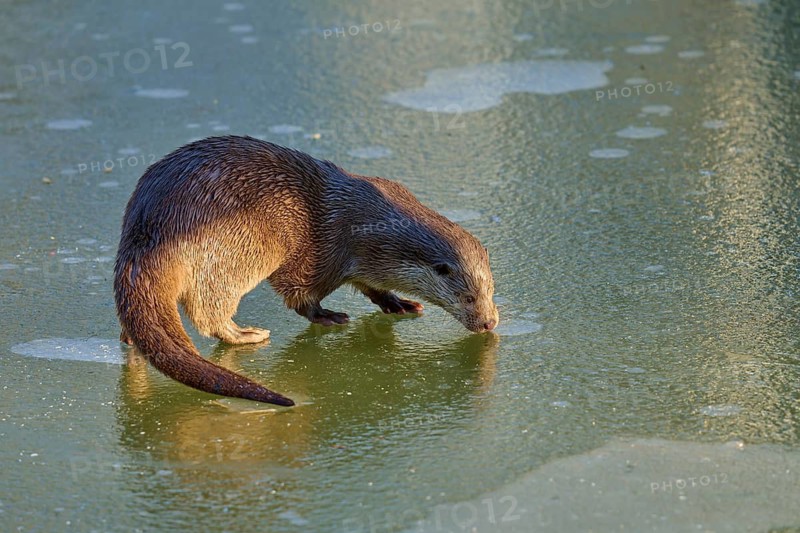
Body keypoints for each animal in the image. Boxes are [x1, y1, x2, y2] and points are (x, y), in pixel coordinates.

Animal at [114, 135, 499, 406]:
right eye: (468, 297)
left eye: (491, 291)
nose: (489, 323)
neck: (368, 226)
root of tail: (151, 230)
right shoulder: (325, 252)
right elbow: (299, 293)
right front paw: (329, 316)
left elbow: (370, 285)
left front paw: (397, 303)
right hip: (236, 251)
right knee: (208, 310)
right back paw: (245, 333)